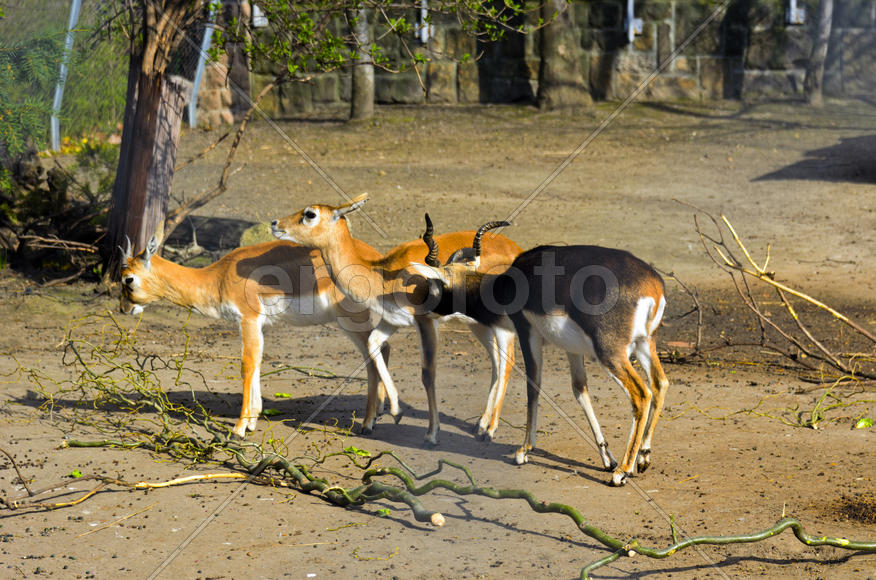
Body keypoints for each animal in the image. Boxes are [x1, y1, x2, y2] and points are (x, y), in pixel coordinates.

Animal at [119, 235, 388, 438]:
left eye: (128, 279)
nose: (124, 308)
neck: (218, 278)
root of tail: (375, 256)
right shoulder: (258, 324)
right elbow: (257, 362)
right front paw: (251, 421)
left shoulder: (248, 319)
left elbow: (246, 365)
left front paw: (239, 428)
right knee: (382, 349)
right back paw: (379, 413)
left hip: (350, 318)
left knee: (374, 353)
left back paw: (368, 423)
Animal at [270, 194, 523, 445]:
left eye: (310, 214)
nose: (275, 223)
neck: (382, 275)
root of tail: (517, 250)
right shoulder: (391, 321)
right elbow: (374, 346)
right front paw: (395, 412)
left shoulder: (425, 322)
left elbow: (427, 373)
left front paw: (431, 433)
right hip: (477, 323)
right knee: (497, 361)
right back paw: (481, 425)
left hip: (499, 322)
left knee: (508, 361)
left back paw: (490, 430)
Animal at [411, 232, 669, 486]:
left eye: (436, 285)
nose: (423, 311)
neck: (506, 287)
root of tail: (654, 286)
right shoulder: (572, 348)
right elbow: (580, 390)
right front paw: (606, 457)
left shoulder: (527, 333)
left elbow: (533, 387)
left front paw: (524, 450)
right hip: (645, 343)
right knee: (660, 384)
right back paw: (643, 457)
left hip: (611, 352)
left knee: (641, 394)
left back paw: (623, 472)